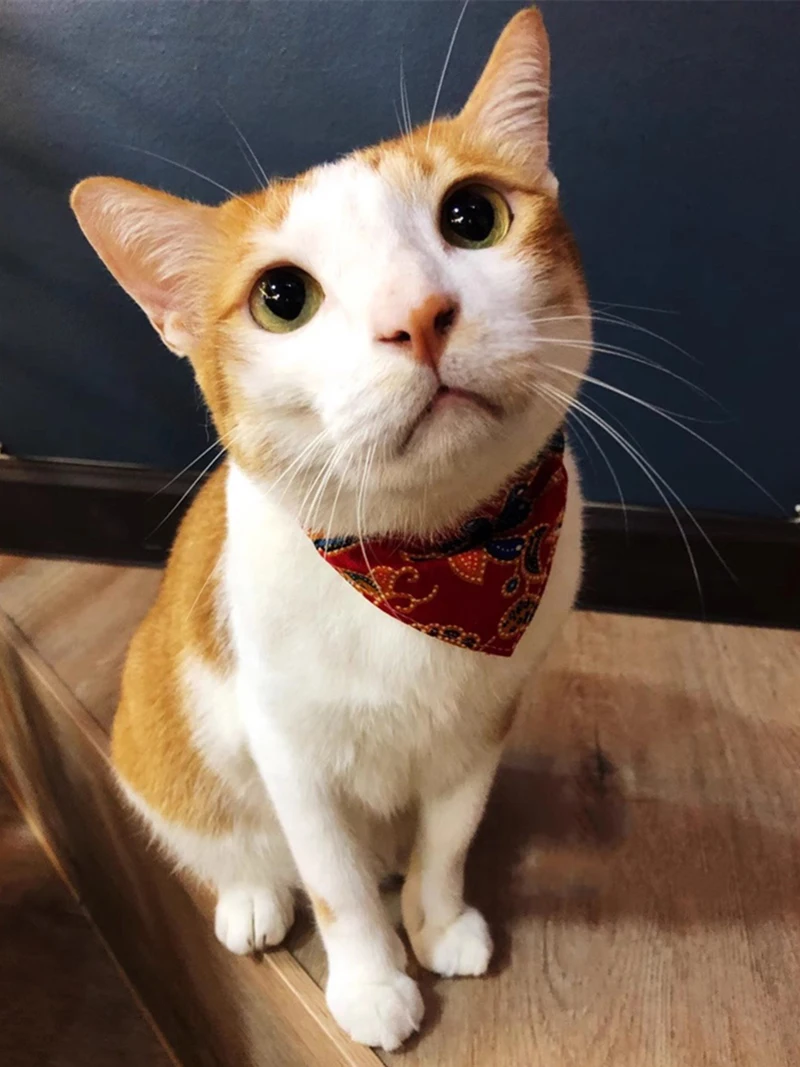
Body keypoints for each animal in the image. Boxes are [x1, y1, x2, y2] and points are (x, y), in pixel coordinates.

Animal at [71, 8, 591, 1052]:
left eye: (473, 217)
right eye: (283, 298)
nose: (417, 316)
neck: (429, 562)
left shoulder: (483, 727)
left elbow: (448, 840)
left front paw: (437, 921)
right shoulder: (291, 752)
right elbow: (338, 885)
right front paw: (370, 980)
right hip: (158, 733)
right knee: (234, 846)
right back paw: (253, 898)